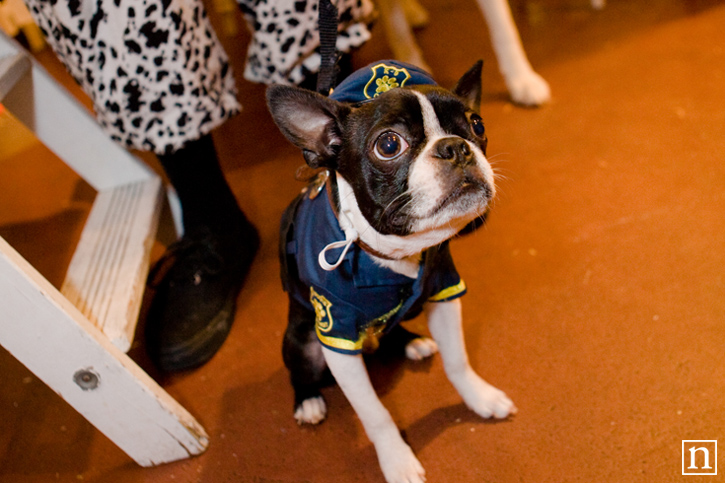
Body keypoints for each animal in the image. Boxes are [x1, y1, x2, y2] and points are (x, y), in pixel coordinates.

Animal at [268, 61, 516, 483]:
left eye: (477, 123)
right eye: (388, 145)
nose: (455, 146)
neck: (397, 252)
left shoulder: (444, 293)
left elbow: (458, 362)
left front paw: (479, 397)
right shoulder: (336, 332)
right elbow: (376, 414)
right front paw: (397, 460)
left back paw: (411, 343)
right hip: (302, 339)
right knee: (301, 370)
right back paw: (309, 402)